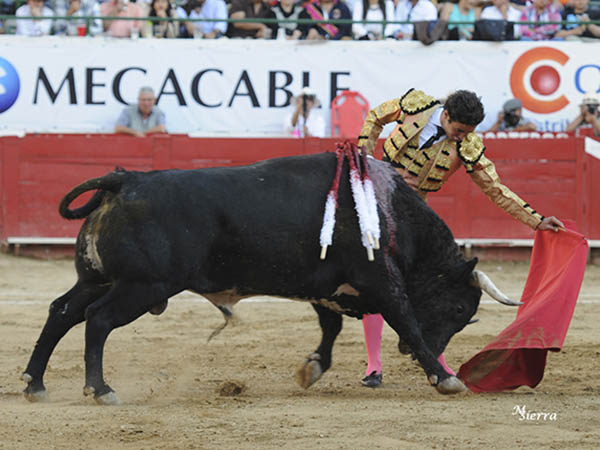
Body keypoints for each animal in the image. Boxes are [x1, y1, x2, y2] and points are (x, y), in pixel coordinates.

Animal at [21, 151, 516, 405]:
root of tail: (125, 181)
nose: (421, 355)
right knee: (98, 320)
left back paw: (35, 384)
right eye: (458, 308)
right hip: (142, 287)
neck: (386, 210)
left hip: (98, 279)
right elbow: (406, 320)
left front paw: (311, 369)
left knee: (61, 311)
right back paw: (100, 389)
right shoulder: (380, 281)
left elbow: (330, 329)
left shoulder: (325, 286)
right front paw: (445, 378)